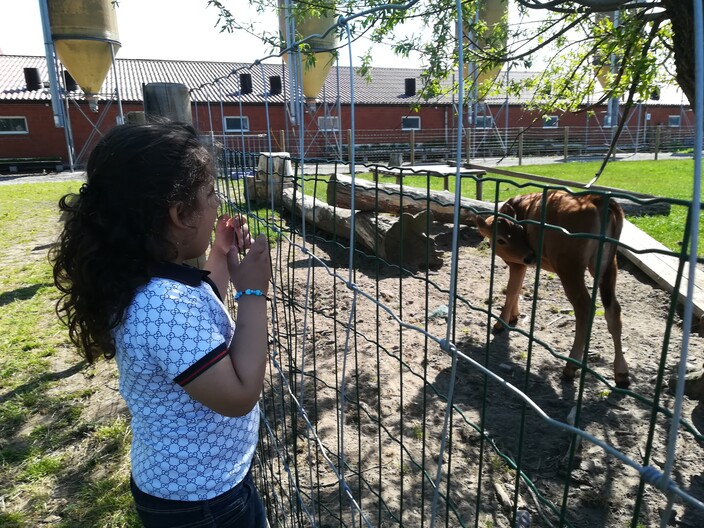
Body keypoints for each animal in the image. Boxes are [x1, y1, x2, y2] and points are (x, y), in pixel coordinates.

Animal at [476, 190, 628, 388]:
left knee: (585, 308)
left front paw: (500, 324)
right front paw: (514, 316)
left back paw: (570, 366)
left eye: (520, 231)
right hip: (607, 264)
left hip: (569, 266)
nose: (531, 256)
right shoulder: (523, 263)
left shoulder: (517, 263)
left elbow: (511, 290)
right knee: (613, 309)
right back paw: (622, 373)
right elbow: (517, 288)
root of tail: (597, 200)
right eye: (503, 238)